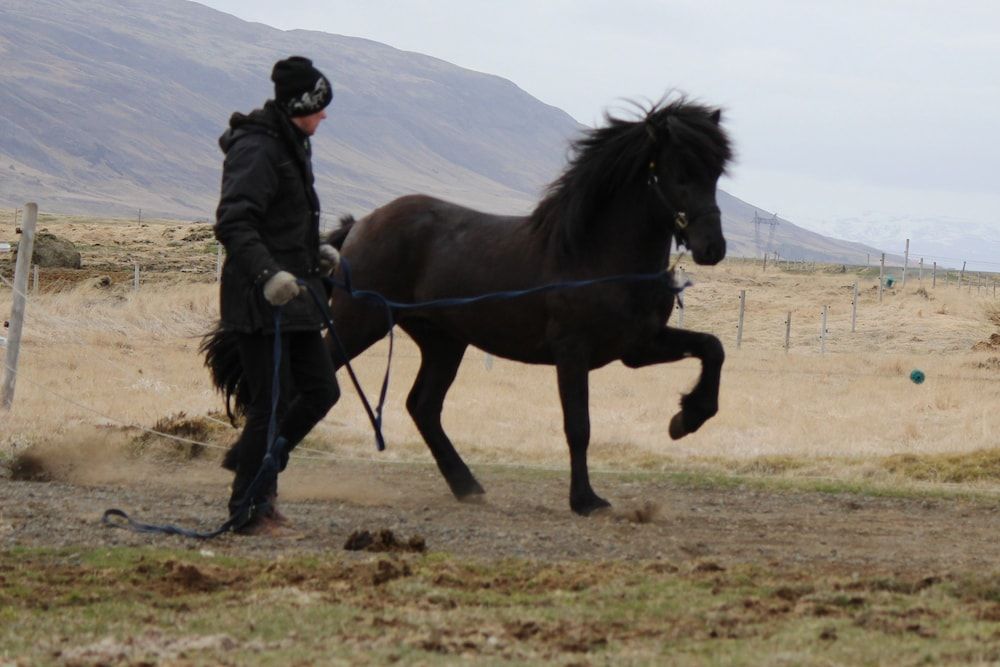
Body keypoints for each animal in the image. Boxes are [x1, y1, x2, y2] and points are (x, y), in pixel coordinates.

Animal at [205, 98, 733, 516]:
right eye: (679, 172)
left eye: (716, 173)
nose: (713, 248)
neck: (595, 255)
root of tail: (361, 225)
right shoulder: (573, 353)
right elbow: (578, 426)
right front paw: (586, 500)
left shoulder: (638, 347)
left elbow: (713, 348)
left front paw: (688, 418)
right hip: (359, 324)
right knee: (308, 386)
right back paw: (246, 462)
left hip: (443, 341)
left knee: (422, 406)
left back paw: (466, 485)